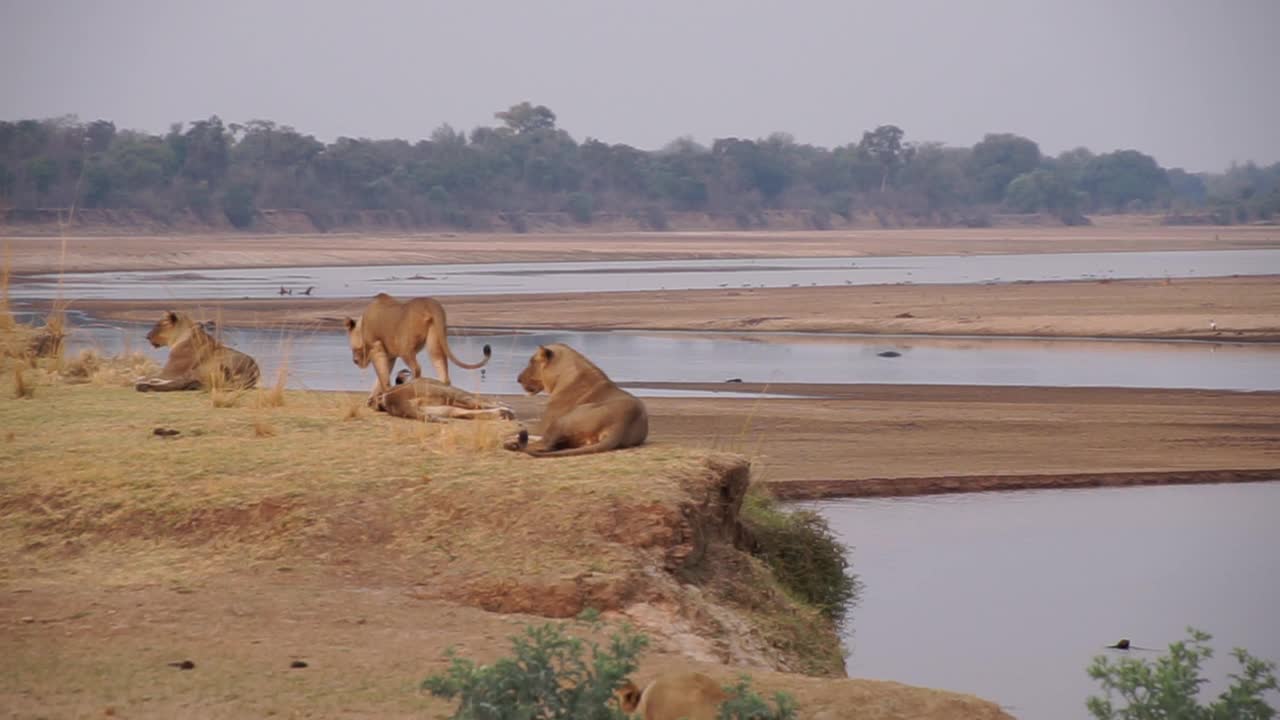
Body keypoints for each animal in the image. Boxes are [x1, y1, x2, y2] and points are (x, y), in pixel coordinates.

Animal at [376, 363, 517, 420]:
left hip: (443, 407)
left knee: (466, 412)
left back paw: (504, 413)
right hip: (448, 393)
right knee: (474, 403)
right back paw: (506, 411)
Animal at [504, 340, 650, 453]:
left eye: (532, 362)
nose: (518, 379)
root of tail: (622, 424)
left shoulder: (543, 426)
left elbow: (519, 426)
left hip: (564, 419)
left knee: (544, 444)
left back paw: (512, 445)